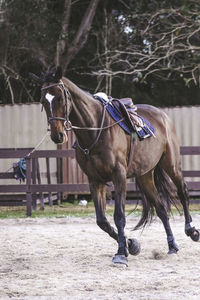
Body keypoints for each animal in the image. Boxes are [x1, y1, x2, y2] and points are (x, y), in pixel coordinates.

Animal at [30, 66, 199, 268]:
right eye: (43, 101)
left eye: (60, 98)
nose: (57, 135)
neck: (95, 128)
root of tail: (163, 116)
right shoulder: (94, 180)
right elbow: (102, 221)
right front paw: (130, 244)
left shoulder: (119, 176)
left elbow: (119, 216)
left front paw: (120, 253)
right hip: (145, 175)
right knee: (161, 209)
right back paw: (172, 246)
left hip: (171, 164)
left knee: (182, 191)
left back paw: (191, 230)